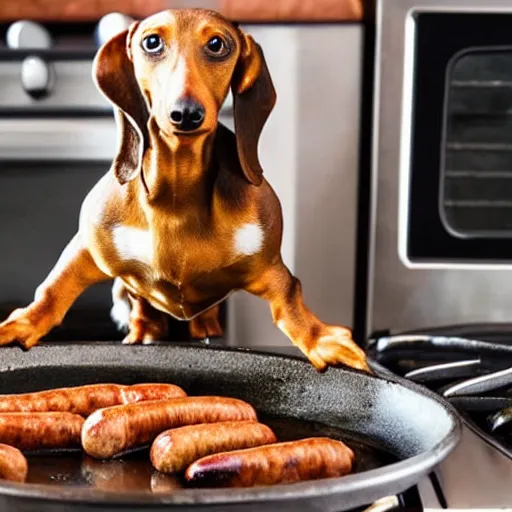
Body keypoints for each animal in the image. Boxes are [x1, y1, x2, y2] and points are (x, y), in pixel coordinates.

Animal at [0, 9, 370, 372]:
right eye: (151, 42)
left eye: (217, 44)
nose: (186, 113)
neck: (177, 192)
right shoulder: (90, 249)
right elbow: (52, 290)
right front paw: (21, 325)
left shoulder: (266, 266)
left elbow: (290, 298)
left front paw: (321, 340)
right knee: (142, 308)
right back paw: (143, 331)